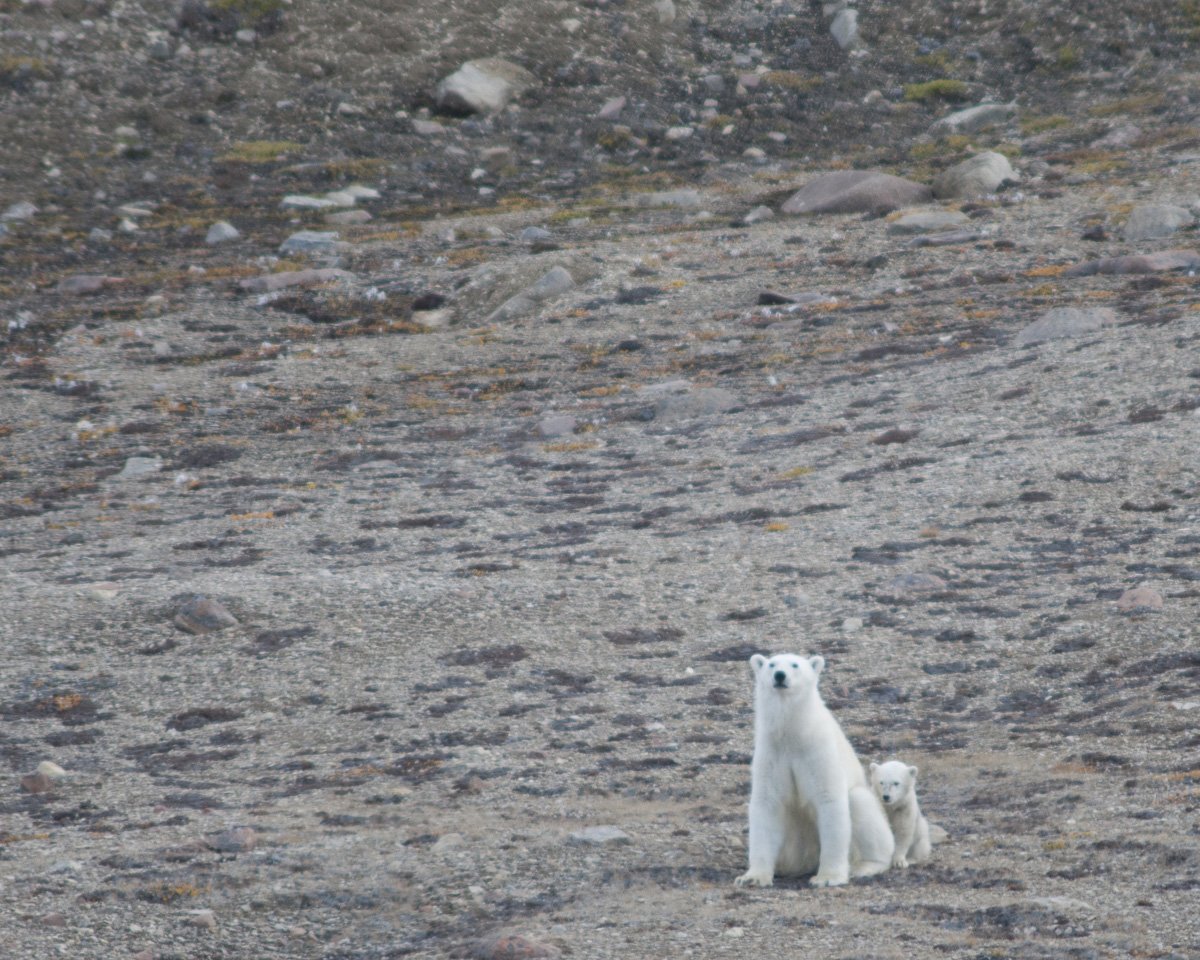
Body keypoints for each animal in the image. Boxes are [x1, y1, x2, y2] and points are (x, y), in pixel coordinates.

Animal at [735, 653, 894, 888]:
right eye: (771, 664)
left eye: (795, 665)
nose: (779, 675)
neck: (793, 733)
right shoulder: (771, 754)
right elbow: (767, 803)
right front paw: (752, 877)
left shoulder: (818, 751)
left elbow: (829, 800)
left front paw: (827, 878)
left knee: (860, 805)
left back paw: (864, 866)